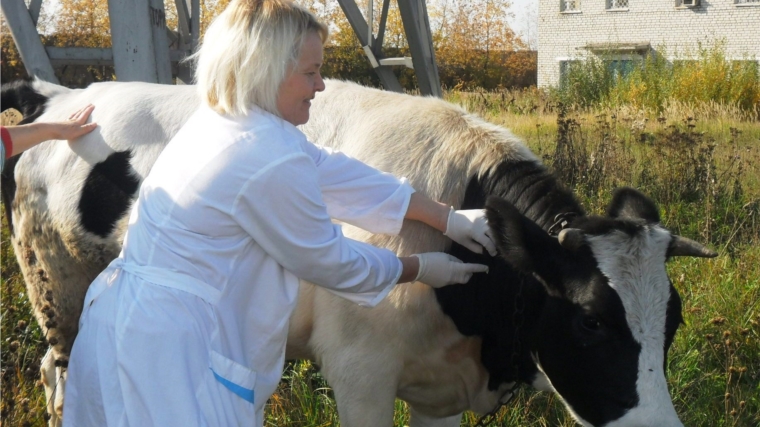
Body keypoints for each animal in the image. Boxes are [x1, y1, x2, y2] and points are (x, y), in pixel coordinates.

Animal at [0, 78, 716, 426]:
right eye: (591, 321)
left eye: (673, 320)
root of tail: (62, 96)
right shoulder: (360, 375)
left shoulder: (441, 394)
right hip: (56, 286)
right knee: (62, 376)